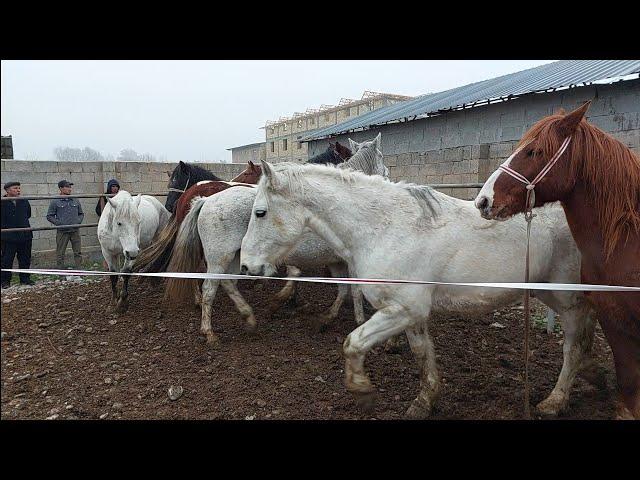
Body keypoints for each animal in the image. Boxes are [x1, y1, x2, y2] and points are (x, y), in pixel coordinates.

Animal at [164, 133, 384, 346]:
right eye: (381, 157)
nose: (385, 175)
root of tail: (205, 200)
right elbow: (352, 289)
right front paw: (358, 320)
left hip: (233, 257)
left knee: (227, 283)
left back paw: (248, 317)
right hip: (219, 258)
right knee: (209, 288)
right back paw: (209, 332)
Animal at [241, 160, 600, 416]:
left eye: (260, 212)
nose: (247, 267)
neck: (385, 228)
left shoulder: (402, 310)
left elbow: (353, 343)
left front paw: (363, 392)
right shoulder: (410, 313)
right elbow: (421, 354)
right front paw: (425, 401)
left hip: (567, 299)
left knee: (574, 346)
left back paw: (555, 401)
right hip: (553, 294)